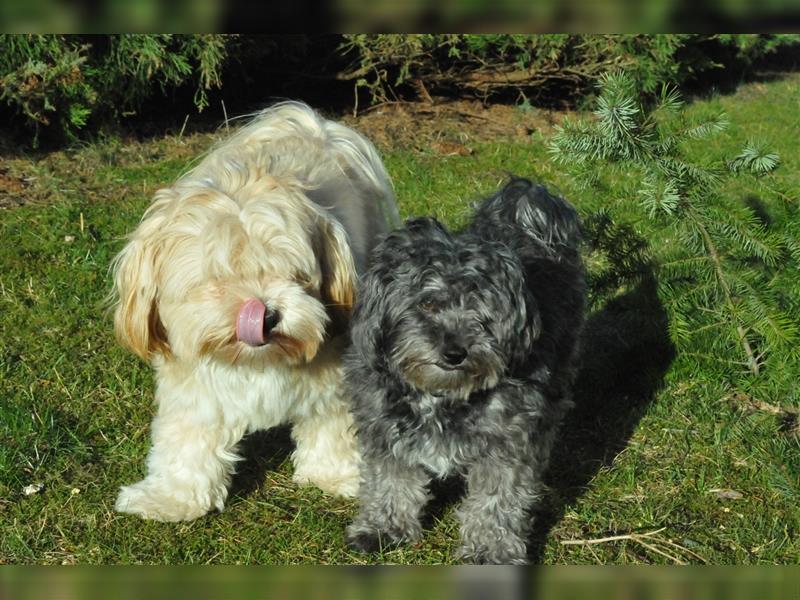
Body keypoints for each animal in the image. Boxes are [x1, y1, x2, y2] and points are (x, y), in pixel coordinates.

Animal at [111, 102, 398, 520]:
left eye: (295, 276)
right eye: (218, 279)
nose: (265, 314)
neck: (253, 362)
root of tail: (312, 127)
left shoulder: (334, 378)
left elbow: (332, 424)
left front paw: (335, 477)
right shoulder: (192, 386)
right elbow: (187, 439)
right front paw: (172, 498)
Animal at [346, 177, 588, 564]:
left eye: (482, 310)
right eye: (428, 302)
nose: (454, 353)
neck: (441, 395)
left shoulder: (508, 442)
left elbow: (497, 501)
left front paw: (492, 550)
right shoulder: (384, 428)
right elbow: (390, 481)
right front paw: (384, 528)